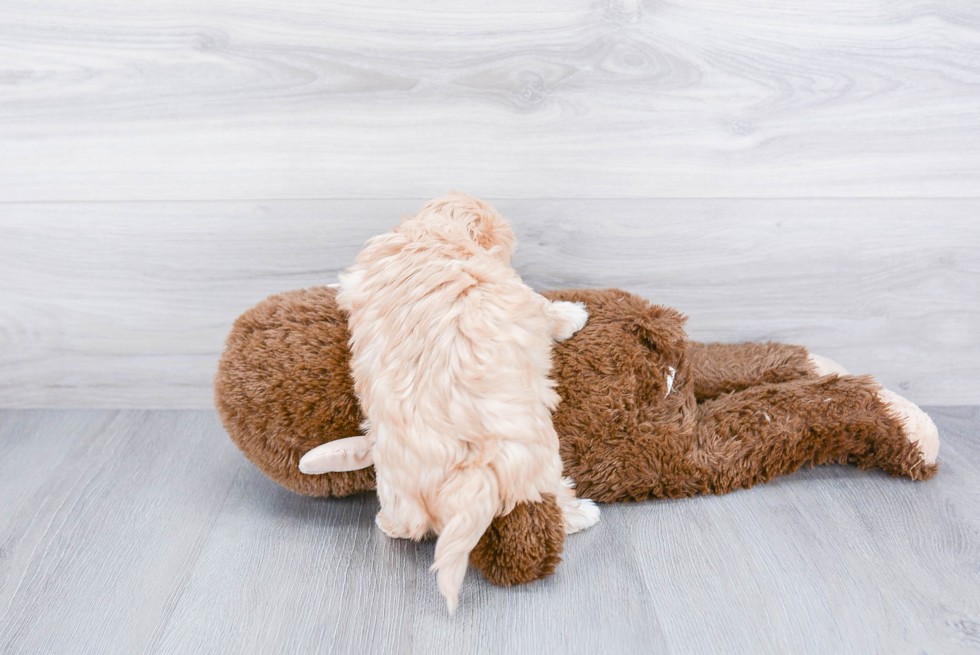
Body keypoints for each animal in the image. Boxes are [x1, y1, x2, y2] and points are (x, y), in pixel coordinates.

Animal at [336, 192, 596, 612]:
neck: (430, 233)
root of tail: (468, 459)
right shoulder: (516, 292)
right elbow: (543, 309)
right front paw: (570, 314)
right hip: (537, 456)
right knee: (551, 495)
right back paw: (582, 513)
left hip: (394, 477)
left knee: (406, 521)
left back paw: (387, 524)